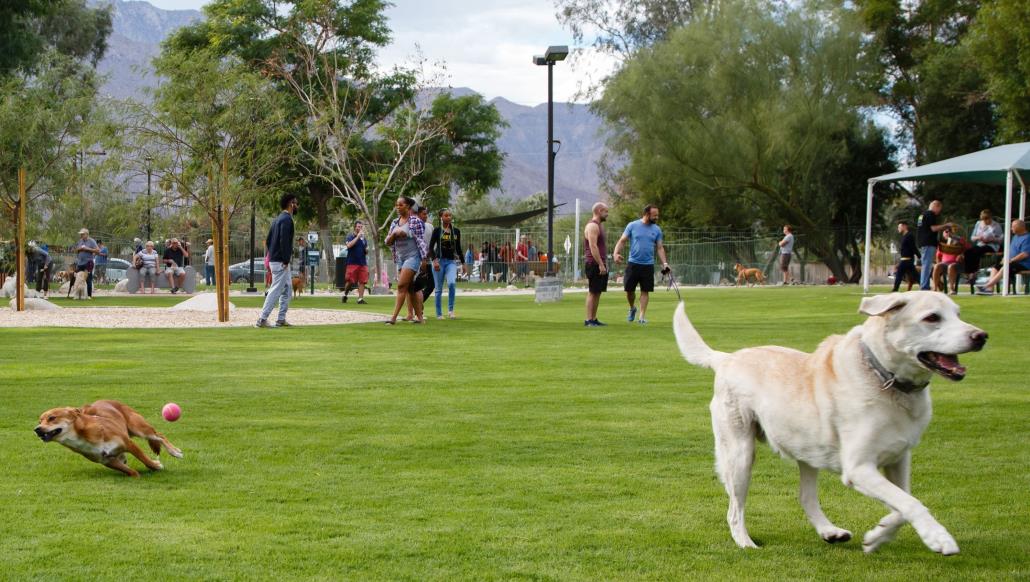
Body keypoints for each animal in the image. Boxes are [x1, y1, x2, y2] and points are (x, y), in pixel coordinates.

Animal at [33, 399, 183, 475]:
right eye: (40, 421)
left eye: (52, 418)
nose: (37, 430)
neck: (82, 436)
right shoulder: (106, 460)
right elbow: (129, 471)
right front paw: (136, 475)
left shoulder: (128, 443)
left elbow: (145, 459)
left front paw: (156, 466)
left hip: (139, 427)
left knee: (159, 436)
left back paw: (175, 451)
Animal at [675, 290, 988, 552]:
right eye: (932, 317)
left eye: (958, 313)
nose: (981, 336)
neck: (883, 377)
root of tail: (726, 358)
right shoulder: (859, 468)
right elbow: (911, 503)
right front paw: (938, 538)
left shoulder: (898, 458)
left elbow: (902, 503)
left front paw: (878, 536)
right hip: (740, 454)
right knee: (734, 508)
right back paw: (745, 542)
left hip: (807, 452)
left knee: (805, 497)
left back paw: (829, 531)